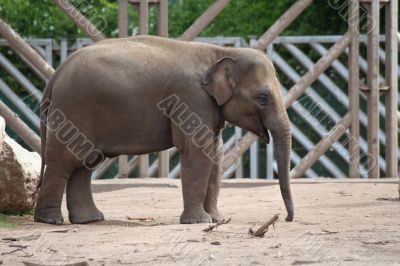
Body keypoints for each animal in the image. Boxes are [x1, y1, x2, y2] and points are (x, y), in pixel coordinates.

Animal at [33, 34, 294, 224]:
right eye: (263, 98)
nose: (286, 219)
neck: (220, 53)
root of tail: (56, 75)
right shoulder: (190, 97)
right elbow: (196, 151)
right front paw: (199, 222)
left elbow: (215, 154)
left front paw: (218, 220)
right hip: (72, 108)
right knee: (65, 161)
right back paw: (51, 221)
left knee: (85, 162)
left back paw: (89, 220)